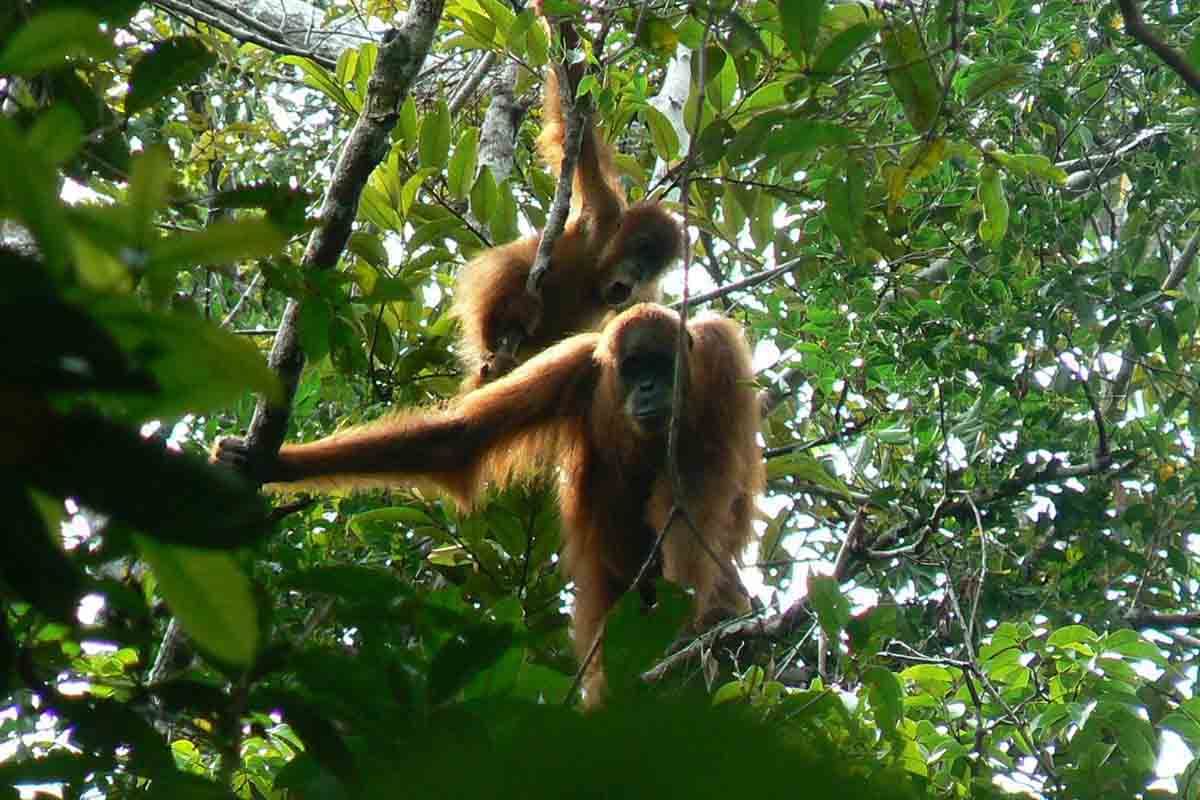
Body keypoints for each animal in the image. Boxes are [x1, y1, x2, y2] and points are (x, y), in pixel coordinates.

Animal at [213, 304, 763, 702]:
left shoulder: (720, 363)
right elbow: (460, 439)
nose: (648, 388)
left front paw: (691, 625)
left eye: (661, 366)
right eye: (634, 369)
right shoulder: (573, 364)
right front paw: (268, 464)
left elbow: (690, 502)